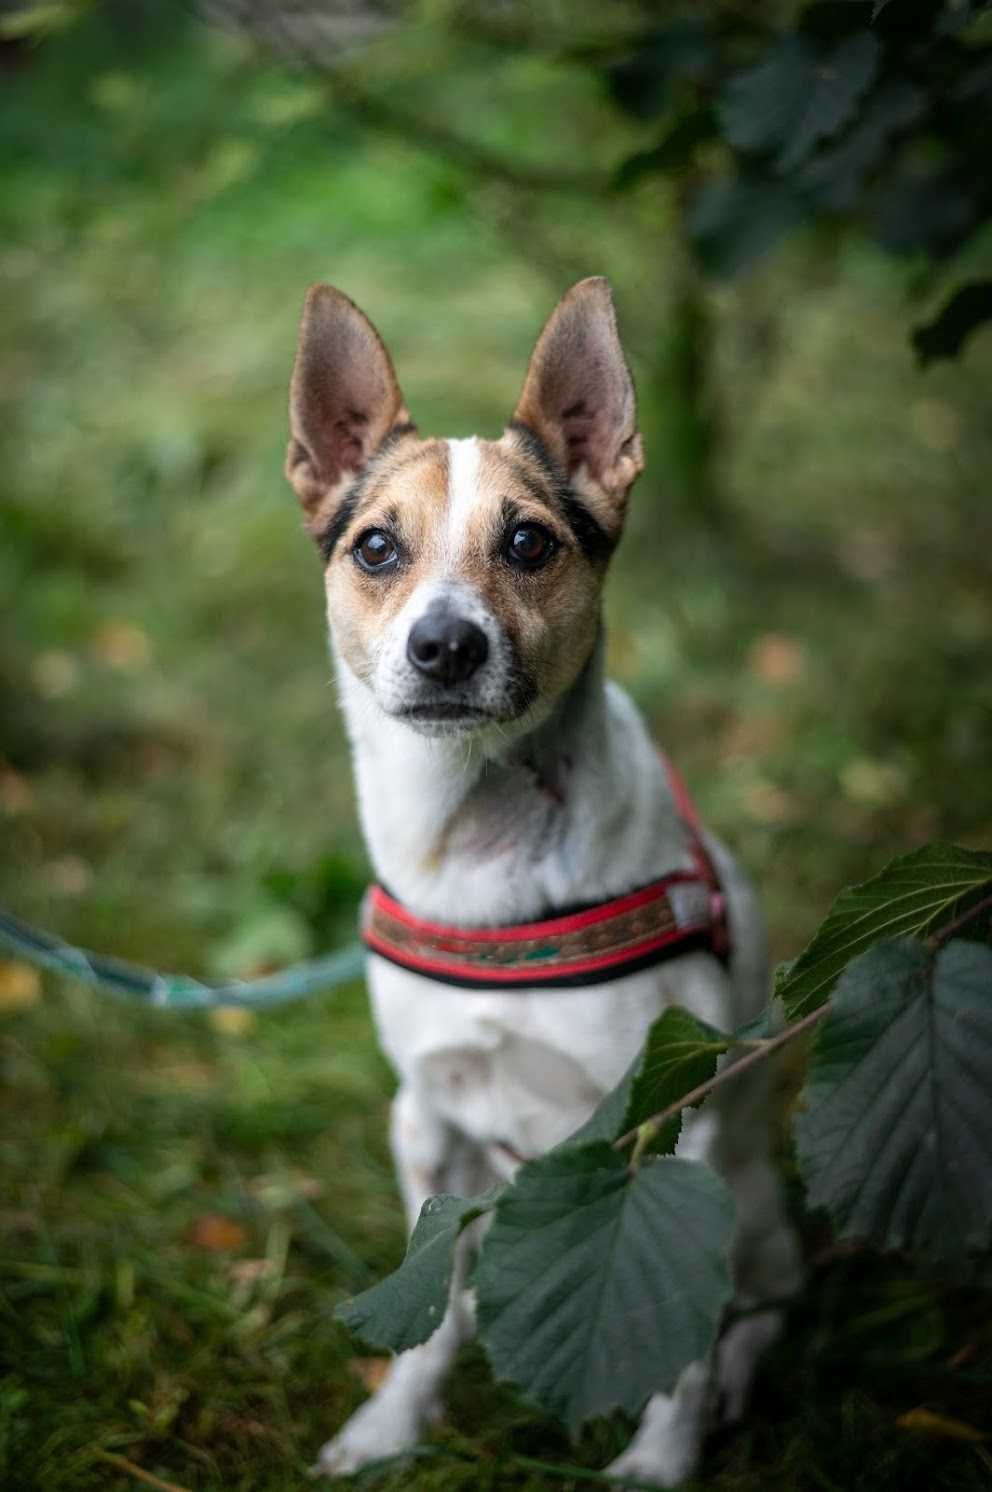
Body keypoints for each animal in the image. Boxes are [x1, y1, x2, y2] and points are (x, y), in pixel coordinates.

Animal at [284, 277, 799, 1480]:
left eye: (528, 540)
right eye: (375, 548)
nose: (444, 647)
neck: (480, 845)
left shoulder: (681, 1129)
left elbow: (683, 1329)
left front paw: (659, 1461)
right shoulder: (426, 1120)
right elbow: (426, 1305)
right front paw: (392, 1424)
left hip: (753, 1201)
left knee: (762, 1303)